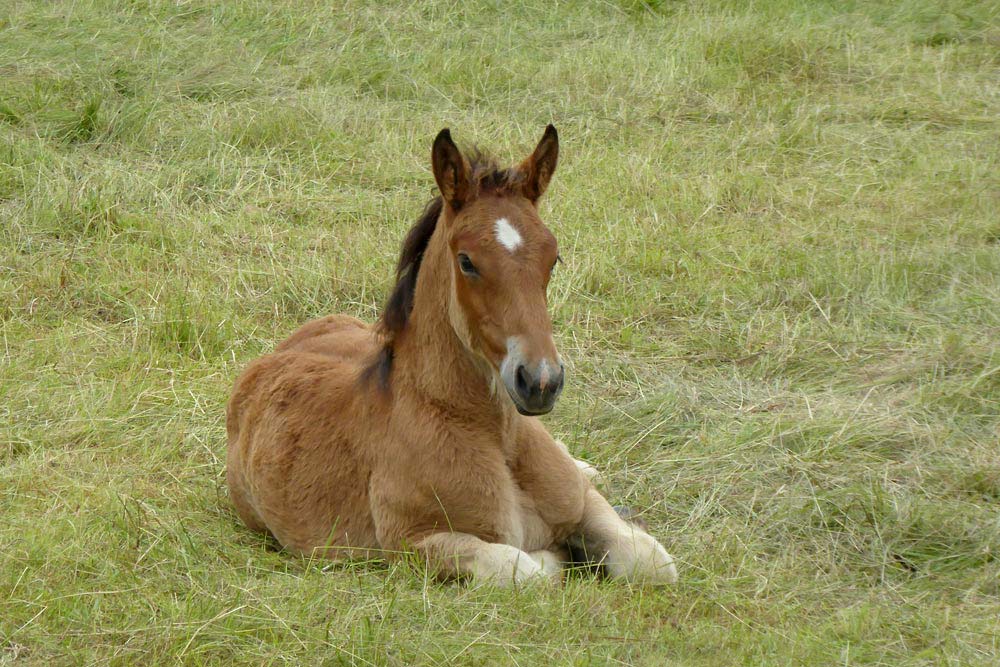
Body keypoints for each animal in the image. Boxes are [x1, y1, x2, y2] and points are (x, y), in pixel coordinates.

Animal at [227, 128, 680, 588]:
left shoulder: (583, 502)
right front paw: (561, 555)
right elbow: (531, 570)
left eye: (554, 258)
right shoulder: (413, 544)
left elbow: (651, 562)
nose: (540, 382)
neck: (495, 437)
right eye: (466, 262)